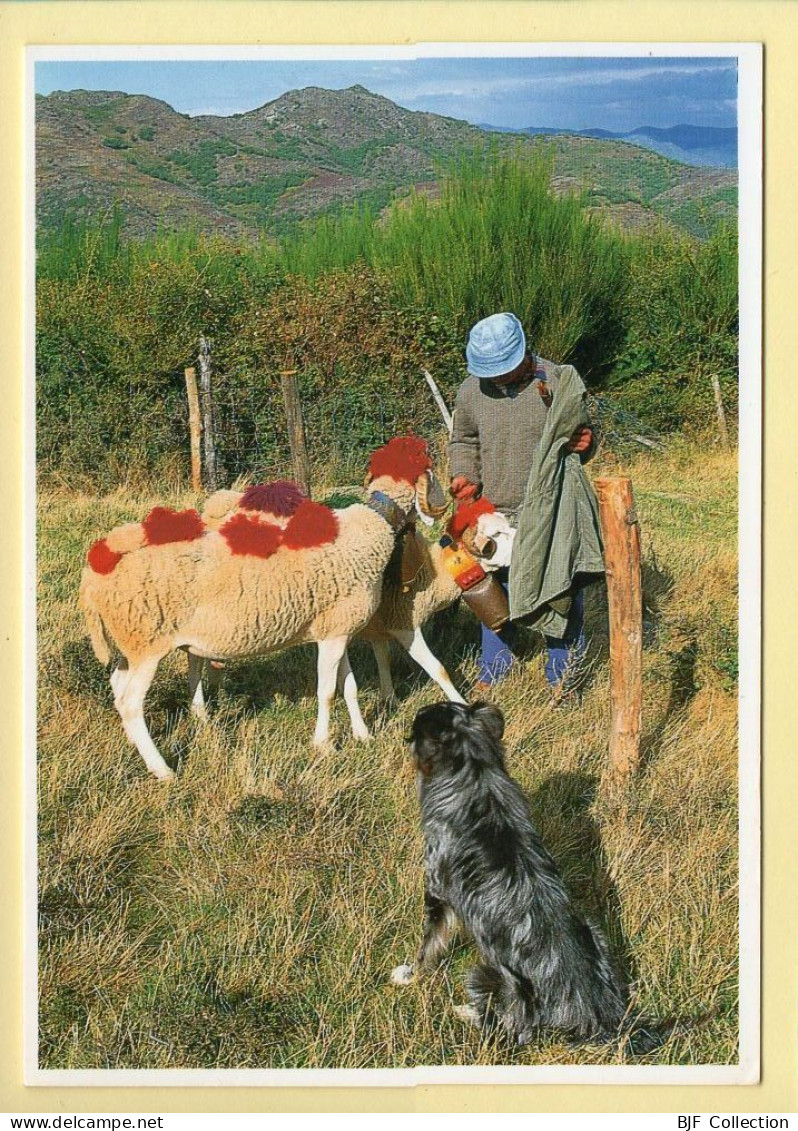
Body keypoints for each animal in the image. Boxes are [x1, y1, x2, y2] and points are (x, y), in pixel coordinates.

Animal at [80, 432, 447, 778]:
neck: (371, 529)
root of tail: (96, 570)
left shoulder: (336, 628)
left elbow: (349, 687)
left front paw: (362, 736)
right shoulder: (334, 633)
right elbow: (327, 691)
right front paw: (323, 745)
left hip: (131, 643)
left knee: (117, 688)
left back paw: (134, 745)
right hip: (148, 642)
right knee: (130, 703)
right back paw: (162, 770)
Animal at [391, 701, 632, 1045]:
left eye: (416, 733)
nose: (404, 740)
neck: (475, 772)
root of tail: (596, 1016)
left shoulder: (436, 894)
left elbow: (427, 947)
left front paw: (409, 975)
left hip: (492, 977)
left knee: (507, 1028)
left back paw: (466, 1012)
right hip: (594, 932)